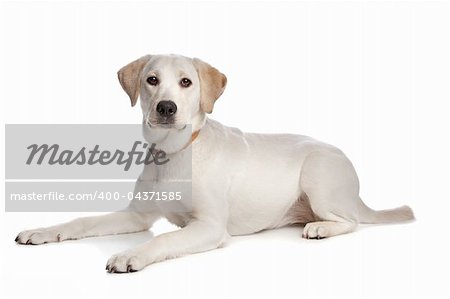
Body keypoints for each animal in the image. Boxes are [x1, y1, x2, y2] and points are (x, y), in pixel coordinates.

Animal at [14, 54, 414, 274]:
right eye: (151, 80)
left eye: (186, 82)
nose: (166, 107)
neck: (173, 155)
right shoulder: (137, 216)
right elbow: (82, 220)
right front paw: (44, 230)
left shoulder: (208, 227)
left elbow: (165, 238)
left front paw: (131, 254)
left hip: (318, 173)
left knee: (351, 221)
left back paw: (320, 227)